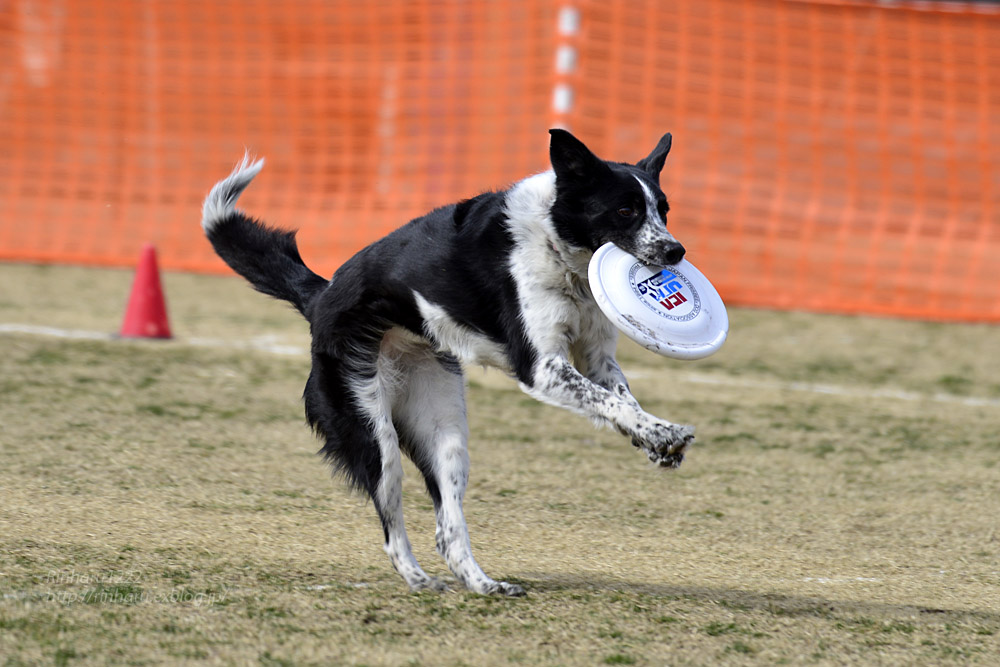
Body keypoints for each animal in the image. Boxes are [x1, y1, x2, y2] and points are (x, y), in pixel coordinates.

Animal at [203, 129, 696, 596]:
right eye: (625, 210)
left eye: (664, 210)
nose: (676, 252)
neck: (558, 243)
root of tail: (320, 296)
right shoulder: (541, 367)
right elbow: (607, 402)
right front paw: (662, 433)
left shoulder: (596, 359)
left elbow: (621, 401)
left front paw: (655, 439)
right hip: (374, 434)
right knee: (392, 526)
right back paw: (420, 580)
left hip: (445, 434)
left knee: (448, 529)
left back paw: (484, 585)